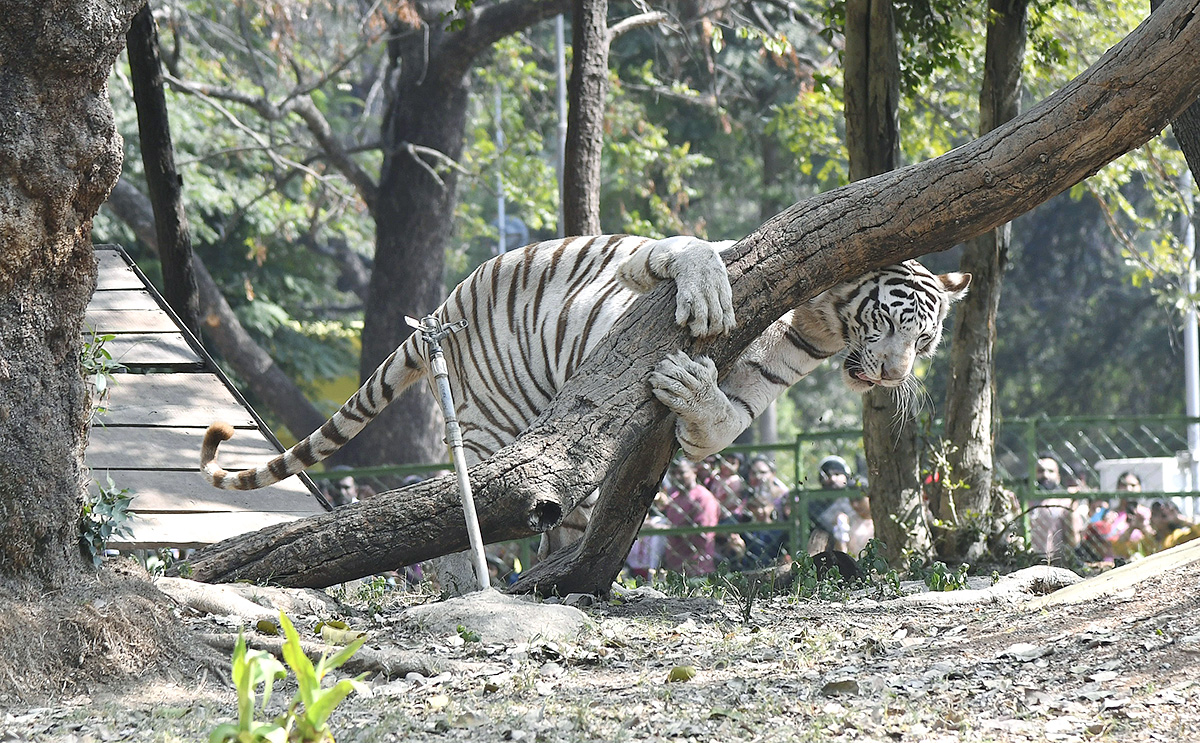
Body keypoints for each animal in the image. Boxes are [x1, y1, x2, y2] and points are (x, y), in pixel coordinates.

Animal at [201, 235, 969, 566]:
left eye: (926, 340)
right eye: (892, 323)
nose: (892, 374)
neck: (823, 319)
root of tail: (446, 302)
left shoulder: (770, 378)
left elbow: (719, 426)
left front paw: (694, 394)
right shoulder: (650, 259)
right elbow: (692, 252)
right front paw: (707, 296)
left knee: (549, 517)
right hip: (494, 422)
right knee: (458, 511)